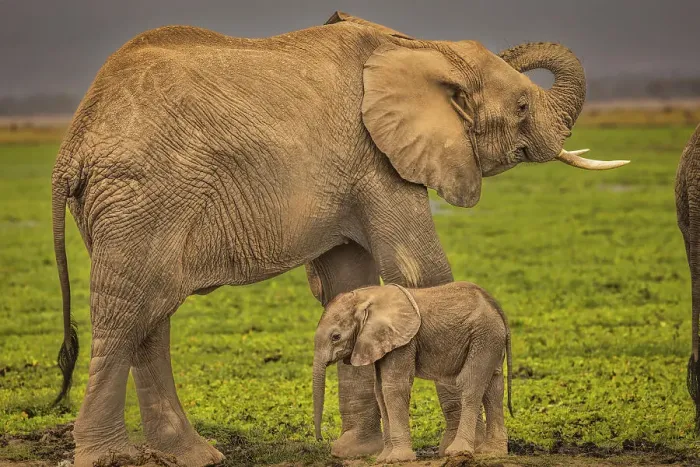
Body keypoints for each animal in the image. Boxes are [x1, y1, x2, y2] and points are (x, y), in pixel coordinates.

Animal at [312, 282, 513, 463]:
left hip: (484, 335)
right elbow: (380, 390)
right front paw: (383, 459)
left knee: (471, 384)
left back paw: (458, 452)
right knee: (494, 387)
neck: (367, 297)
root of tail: (496, 307)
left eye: (336, 337)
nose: (320, 439)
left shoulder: (404, 342)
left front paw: (397, 459)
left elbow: (394, 387)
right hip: (491, 337)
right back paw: (491, 452)